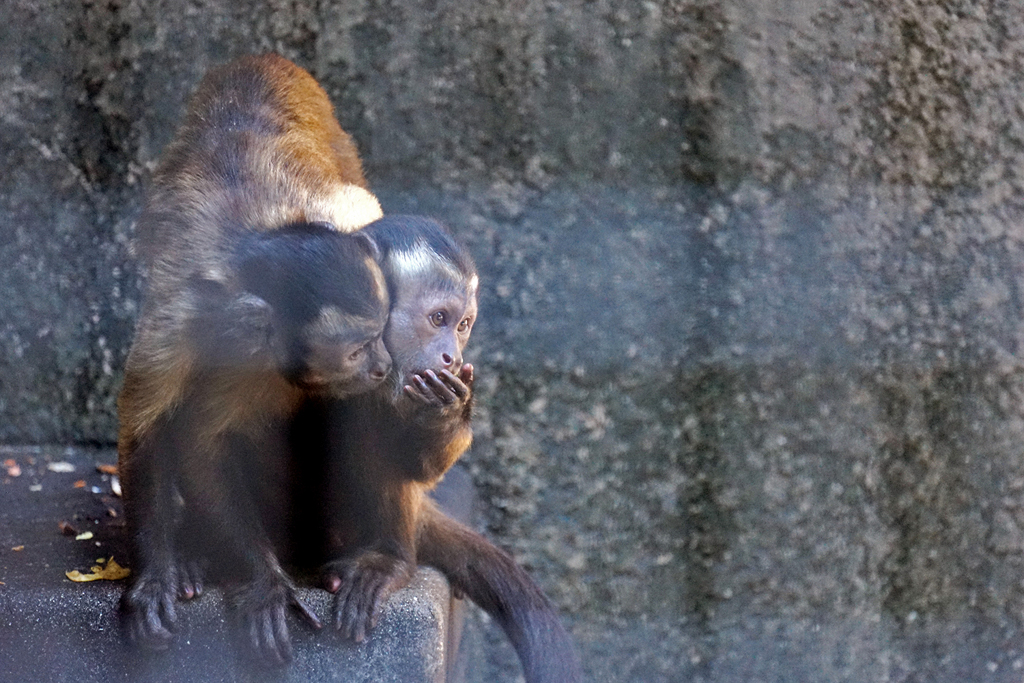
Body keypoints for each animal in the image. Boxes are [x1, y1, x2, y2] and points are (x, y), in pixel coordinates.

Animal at [117, 56, 391, 663]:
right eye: (358, 348)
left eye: (381, 335)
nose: (383, 364)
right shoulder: (181, 320)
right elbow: (166, 430)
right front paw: (165, 573)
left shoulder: (353, 225)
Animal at [292, 215, 585, 683]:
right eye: (438, 318)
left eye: (462, 325)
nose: (453, 356)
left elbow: (416, 465)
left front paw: (447, 412)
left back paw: (386, 559)